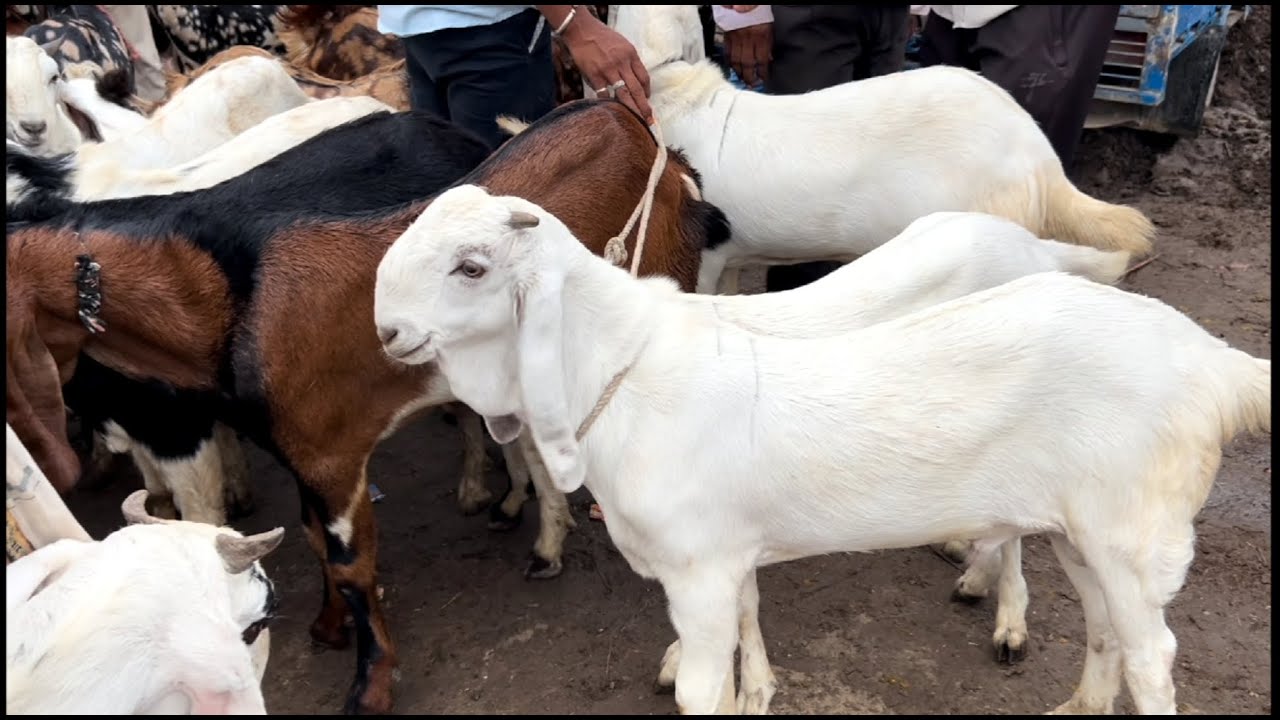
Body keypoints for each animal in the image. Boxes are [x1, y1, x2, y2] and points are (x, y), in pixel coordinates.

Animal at [373, 185, 1272, 715]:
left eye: (471, 266)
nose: (385, 332)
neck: (623, 371)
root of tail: (1212, 362)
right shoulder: (726, 555)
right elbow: (748, 625)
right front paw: (761, 689)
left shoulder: (697, 573)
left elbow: (700, 687)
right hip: (1085, 531)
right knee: (1105, 627)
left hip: (1136, 535)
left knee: (1152, 655)